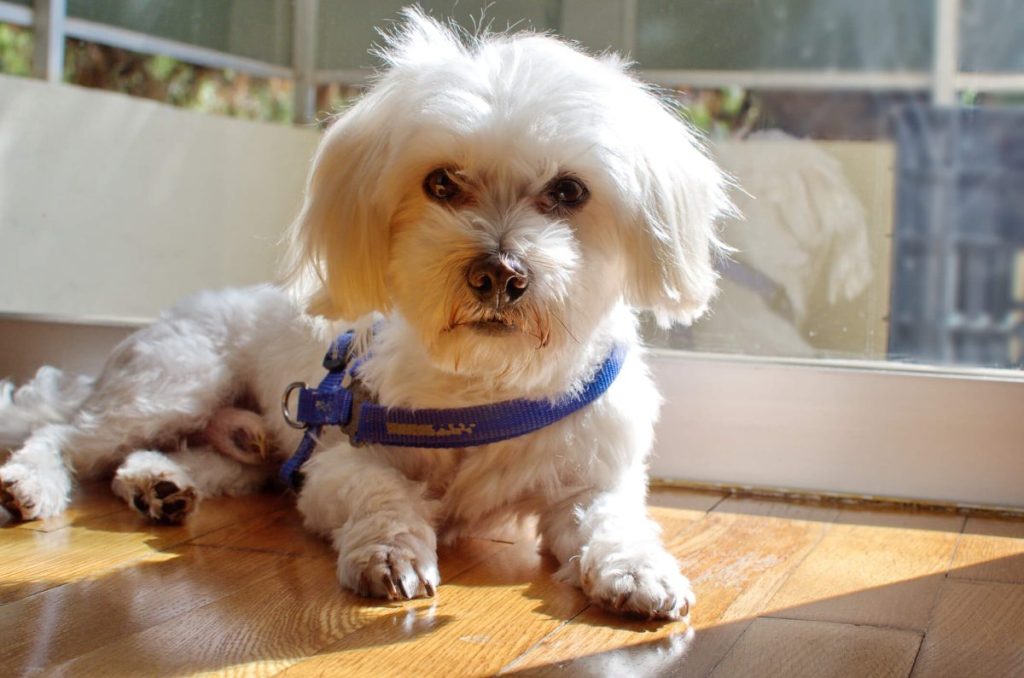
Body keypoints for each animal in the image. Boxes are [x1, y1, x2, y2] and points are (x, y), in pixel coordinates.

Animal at [4, 9, 733, 622]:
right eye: (440, 183)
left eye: (570, 191)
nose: (498, 273)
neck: (485, 391)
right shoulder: (338, 461)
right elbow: (384, 497)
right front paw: (390, 553)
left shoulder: (589, 482)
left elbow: (615, 523)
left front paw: (639, 572)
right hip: (177, 383)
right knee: (66, 437)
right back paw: (31, 485)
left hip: (250, 452)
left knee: (181, 457)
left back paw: (160, 484)